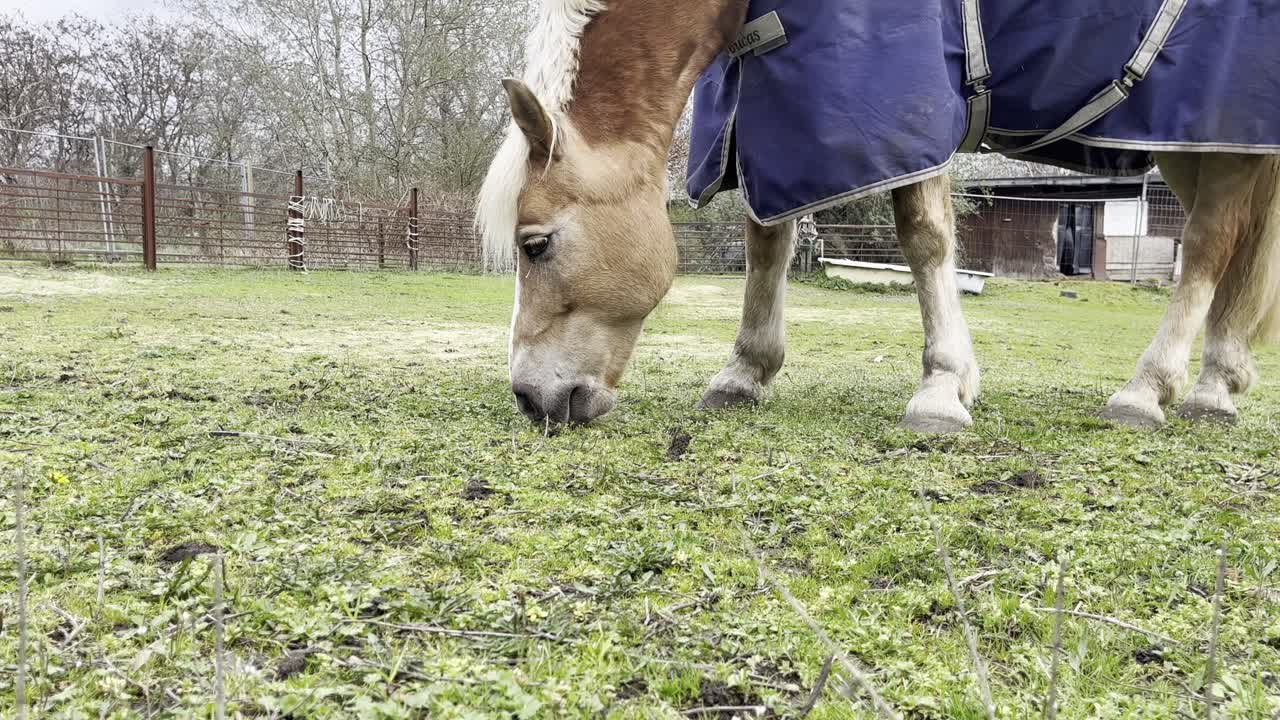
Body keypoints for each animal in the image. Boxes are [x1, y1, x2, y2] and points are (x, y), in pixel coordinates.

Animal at [477, 0, 1280, 431]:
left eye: (536, 245)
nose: (528, 397)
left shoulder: (901, 108)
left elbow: (923, 236)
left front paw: (942, 387)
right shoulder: (767, 107)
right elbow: (766, 235)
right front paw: (744, 372)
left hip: (1219, 130)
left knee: (1210, 245)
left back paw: (1152, 389)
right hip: (1188, 141)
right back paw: (1218, 383)